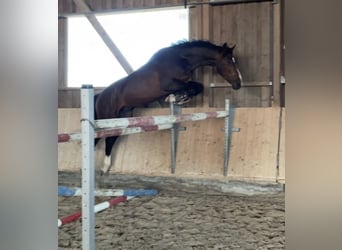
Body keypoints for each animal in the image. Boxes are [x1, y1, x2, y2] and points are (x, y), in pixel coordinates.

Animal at [95, 41, 242, 174]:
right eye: (229, 61)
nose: (239, 83)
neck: (180, 59)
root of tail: (100, 96)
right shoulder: (169, 84)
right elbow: (193, 86)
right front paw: (178, 98)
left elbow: (197, 86)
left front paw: (178, 97)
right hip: (107, 119)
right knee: (99, 138)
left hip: (122, 118)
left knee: (110, 139)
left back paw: (105, 167)